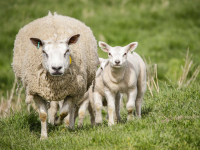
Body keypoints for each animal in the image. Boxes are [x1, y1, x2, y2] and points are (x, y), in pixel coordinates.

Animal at [11, 11, 98, 139]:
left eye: (67, 51)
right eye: (44, 52)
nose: (56, 68)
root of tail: (53, 15)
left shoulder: (72, 91)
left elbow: (64, 112)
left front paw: (57, 122)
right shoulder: (36, 92)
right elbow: (43, 114)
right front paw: (43, 136)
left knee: (72, 109)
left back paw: (70, 127)